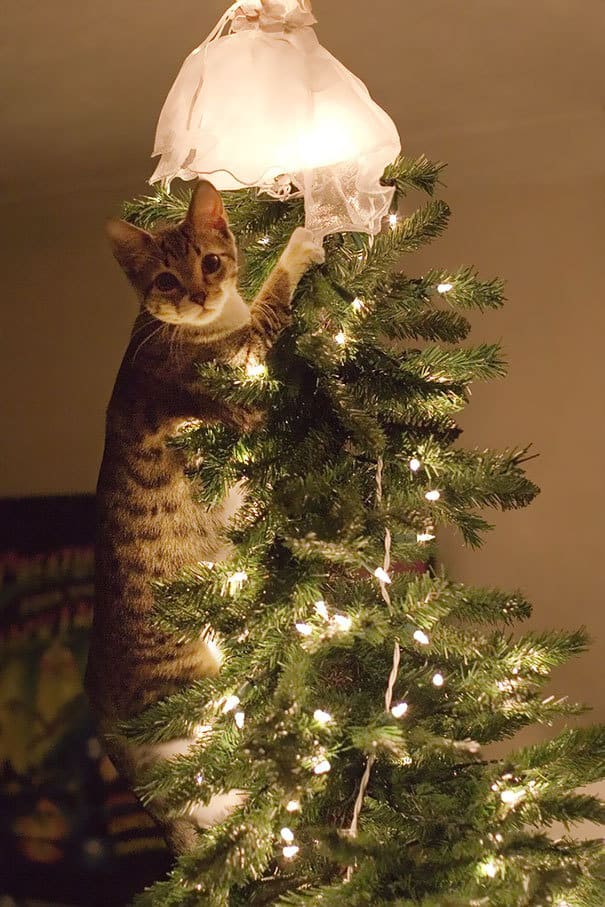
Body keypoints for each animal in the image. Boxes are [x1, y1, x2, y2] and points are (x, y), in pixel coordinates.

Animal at [84, 181, 326, 856]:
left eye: (211, 262)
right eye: (166, 279)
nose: (196, 294)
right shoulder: (231, 368)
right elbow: (272, 300)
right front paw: (302, 241)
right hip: (193, 694)